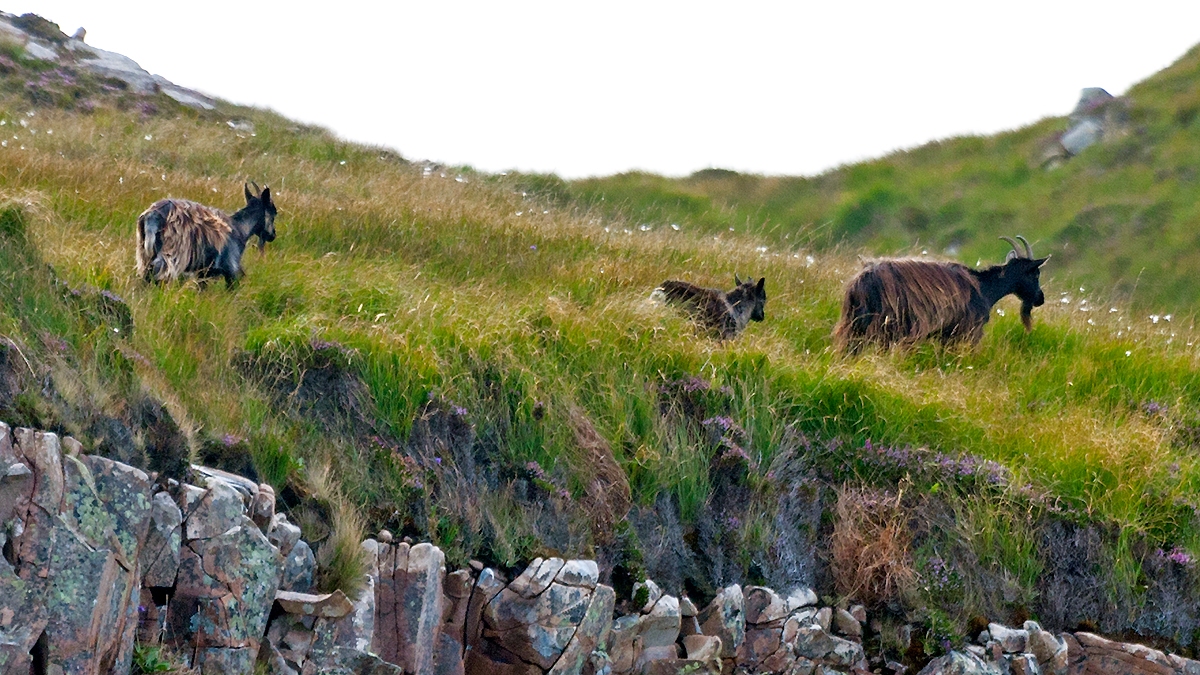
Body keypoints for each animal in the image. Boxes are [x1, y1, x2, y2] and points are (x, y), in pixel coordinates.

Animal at [136, 182, 277, 287]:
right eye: (274, 212)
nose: (273, 235)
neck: (240, 228)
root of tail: (152, 215)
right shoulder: (231, 268)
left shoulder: (203, 273)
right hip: (173, 252)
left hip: (145, 251)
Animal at [833, 236, 1048, 352]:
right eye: (1035, 273)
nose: (1040, 298)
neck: (984, 288)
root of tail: (861, 282)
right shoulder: (969, 331)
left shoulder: (945, 335)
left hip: (854, 325)